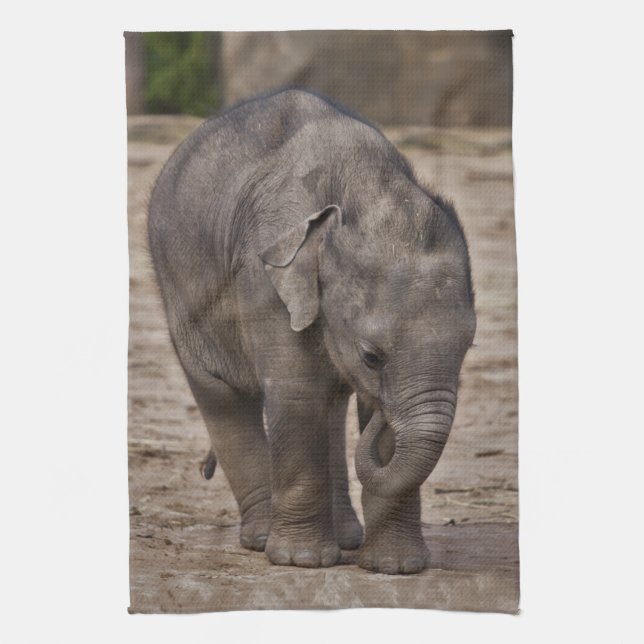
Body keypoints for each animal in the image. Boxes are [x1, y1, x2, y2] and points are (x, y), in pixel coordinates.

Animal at [147, 89, 476, 574]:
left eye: (468, 348)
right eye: (371, 357)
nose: (379, 400)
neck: (365, 188)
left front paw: (395, 568)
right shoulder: (264, 282)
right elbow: (297, 395)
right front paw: (301, 562)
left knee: (331, 410)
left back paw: (345, 538)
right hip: (176, 288)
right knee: (222, 393)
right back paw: (262, 538)